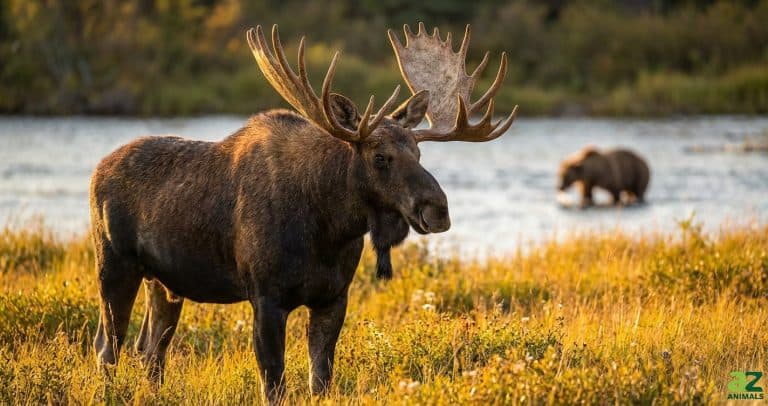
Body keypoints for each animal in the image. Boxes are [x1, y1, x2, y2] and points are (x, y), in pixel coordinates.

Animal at [89, 22, 517, 403]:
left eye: (419, 152)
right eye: (380, 157)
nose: (438, 210)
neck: (329, 229)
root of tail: (98, 170)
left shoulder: (333, 297)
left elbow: (320, 380)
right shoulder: (265, 297)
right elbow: (274, 384)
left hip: (163, 282)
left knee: (150, 350)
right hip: (114, 266)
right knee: (107, 346)